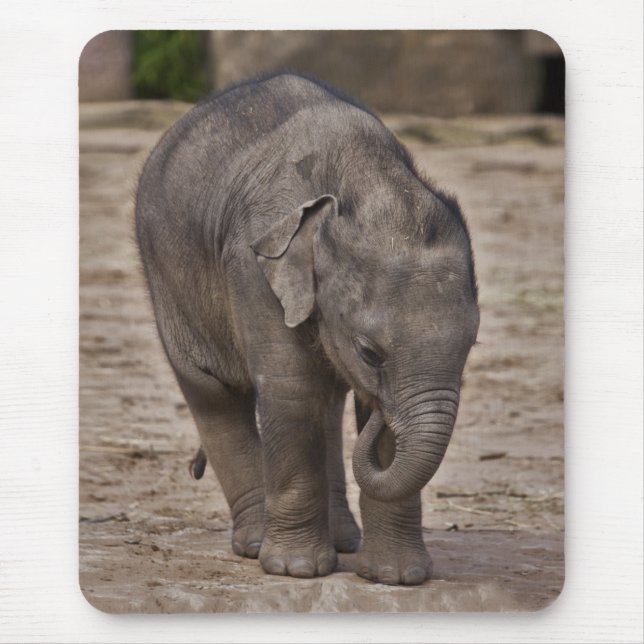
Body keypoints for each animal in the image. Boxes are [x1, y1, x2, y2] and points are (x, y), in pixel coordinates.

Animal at [135, 73, 479, 585]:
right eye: (369, 352)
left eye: (471, 345)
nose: (377, 396)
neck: (364, 179)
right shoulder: (253, 269)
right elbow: (292, 391)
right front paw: (294, 571)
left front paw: (396, 578)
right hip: (166, 278)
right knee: (212, 391)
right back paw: (256, 544)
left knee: (327, 406)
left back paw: (343, 542)